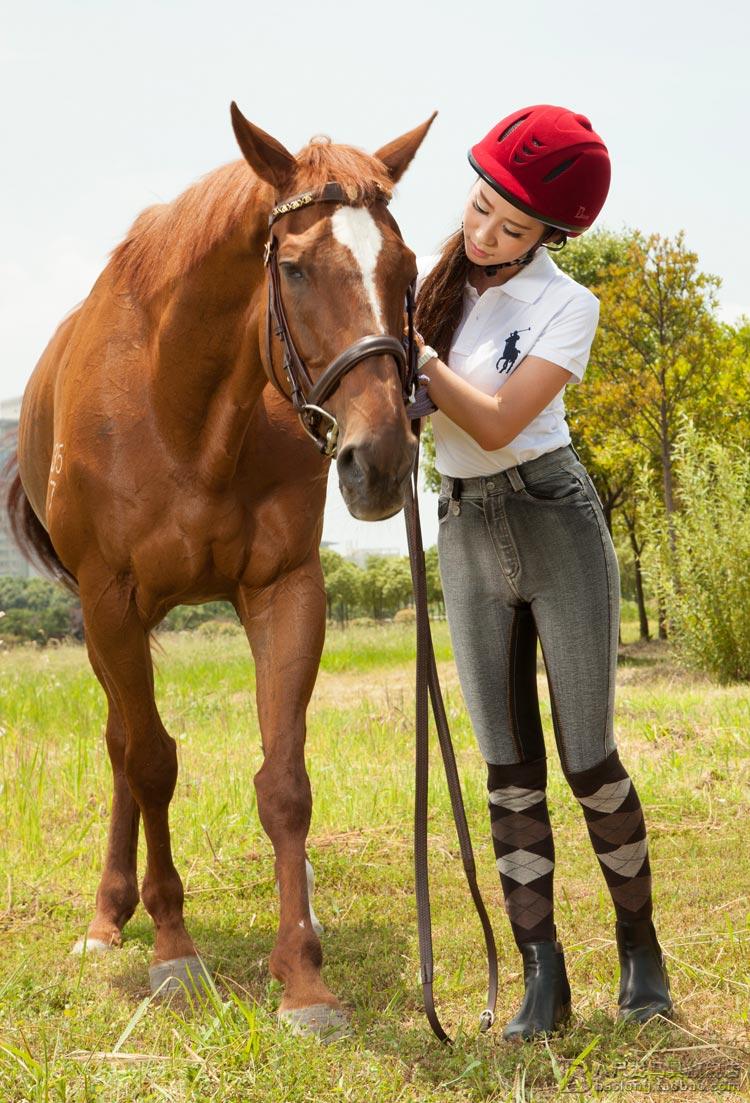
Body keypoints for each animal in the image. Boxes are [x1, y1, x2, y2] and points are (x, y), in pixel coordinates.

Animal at [7, 103, 434, 1041]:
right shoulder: (112, 600)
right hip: (102, 626)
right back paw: (110, 917)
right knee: (123, 745)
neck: (181, 406)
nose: (382, 460)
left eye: (406, 267)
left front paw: (303, 979)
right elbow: (151, 763)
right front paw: (173, 947)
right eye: (298, 268)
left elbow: (285, 781)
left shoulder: (285, 589)